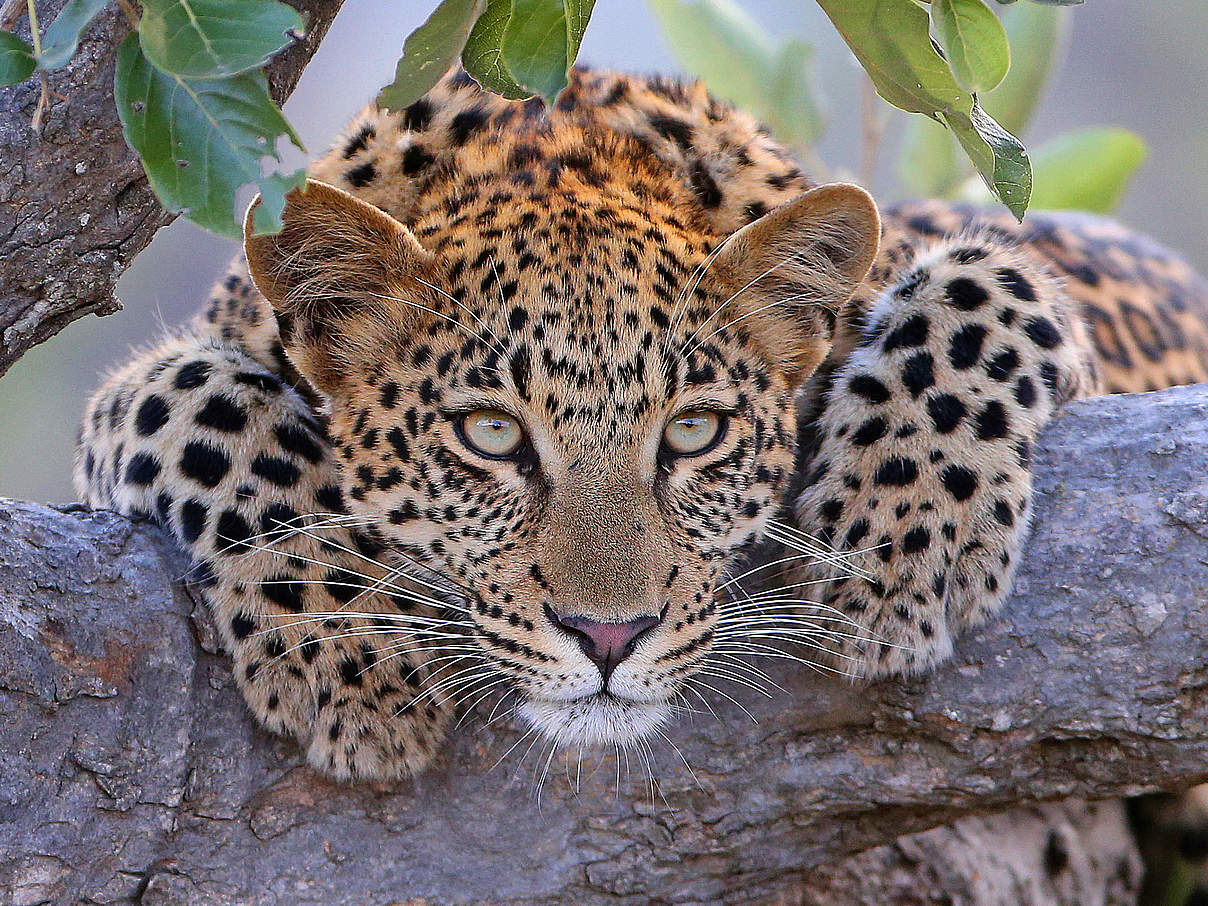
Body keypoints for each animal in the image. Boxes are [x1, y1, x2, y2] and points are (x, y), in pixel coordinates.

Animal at [73, 67, 1208, 787]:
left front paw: (891, 557)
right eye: (490, 437)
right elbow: (196, 393)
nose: (608, 638)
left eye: (694, 434)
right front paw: (352, 657)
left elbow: (982, 277)